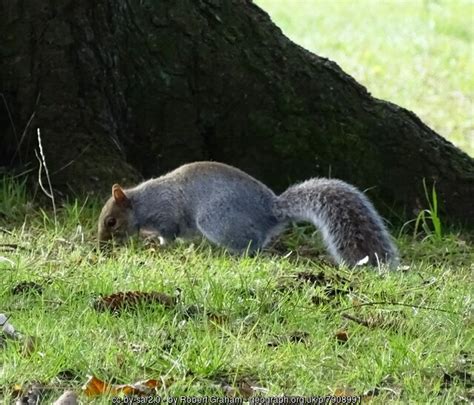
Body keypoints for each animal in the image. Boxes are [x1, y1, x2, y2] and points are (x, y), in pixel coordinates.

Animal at [98, 163, 398, 266]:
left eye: (111, 222)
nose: (101, 247)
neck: (142, 202)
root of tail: (271, 210)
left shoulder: (166, 214)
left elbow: (169, 235)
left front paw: (158, 246)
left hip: (217, 221)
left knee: (251, 245)